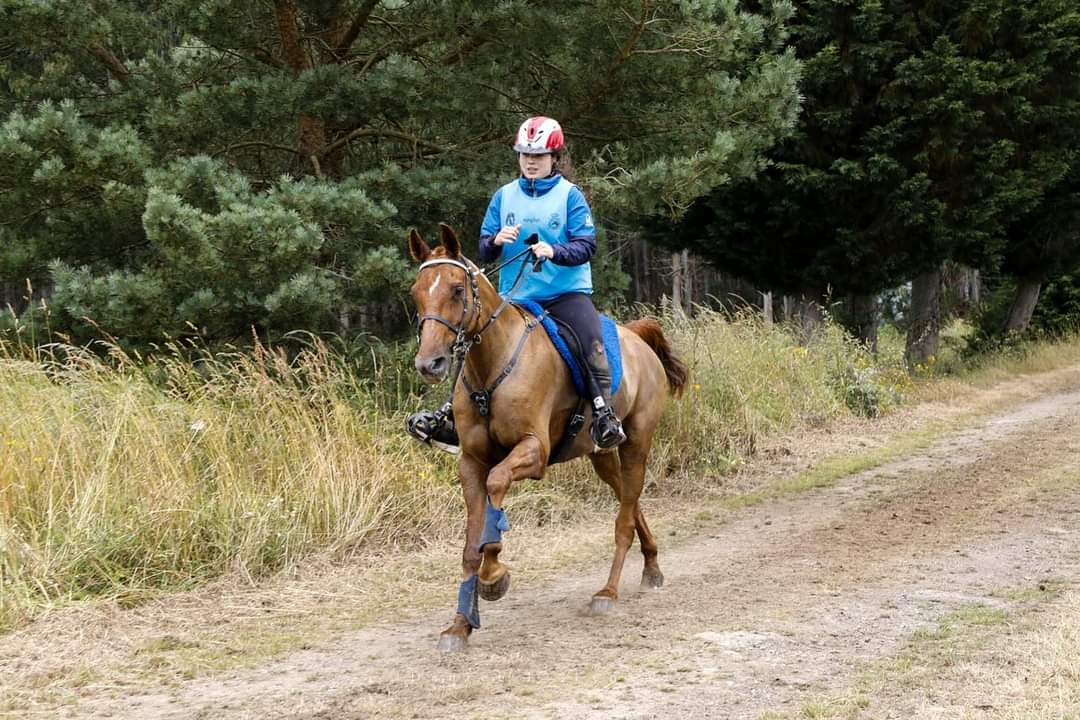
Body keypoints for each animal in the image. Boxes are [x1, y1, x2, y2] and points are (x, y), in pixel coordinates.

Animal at [408, 222, 686, 651]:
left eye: (456, 289)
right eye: (416, 291)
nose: (430, 364)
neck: (493, 367)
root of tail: (637, 337)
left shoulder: (533, 451)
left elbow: (496, 489)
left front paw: (494, 575)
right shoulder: (471, 464)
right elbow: (470, 545)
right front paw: (460, 625)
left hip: (637, 441)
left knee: (625, 514)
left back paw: (608, 592)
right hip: (601, 454)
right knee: (629, 498)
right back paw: (652, 566)